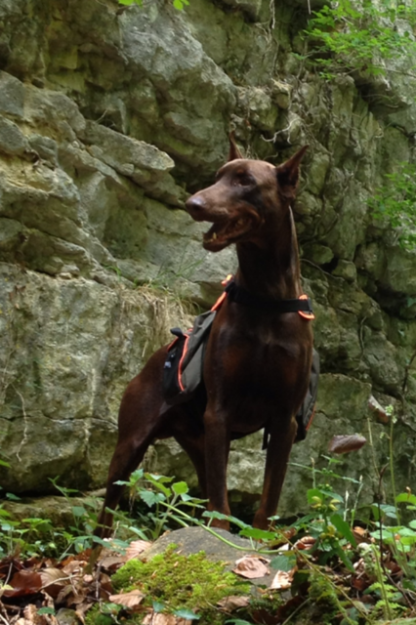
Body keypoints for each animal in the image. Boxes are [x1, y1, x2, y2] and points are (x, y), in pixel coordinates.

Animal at [96, 138, 314, 536]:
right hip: (132, 446)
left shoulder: (283, 419)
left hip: (201, 443)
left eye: (245, 181)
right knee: (105, 517)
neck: (266, 297)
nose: (192, 203)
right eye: (217, 177)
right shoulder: (220, 411)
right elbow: (221, 503)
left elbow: (268, 499)